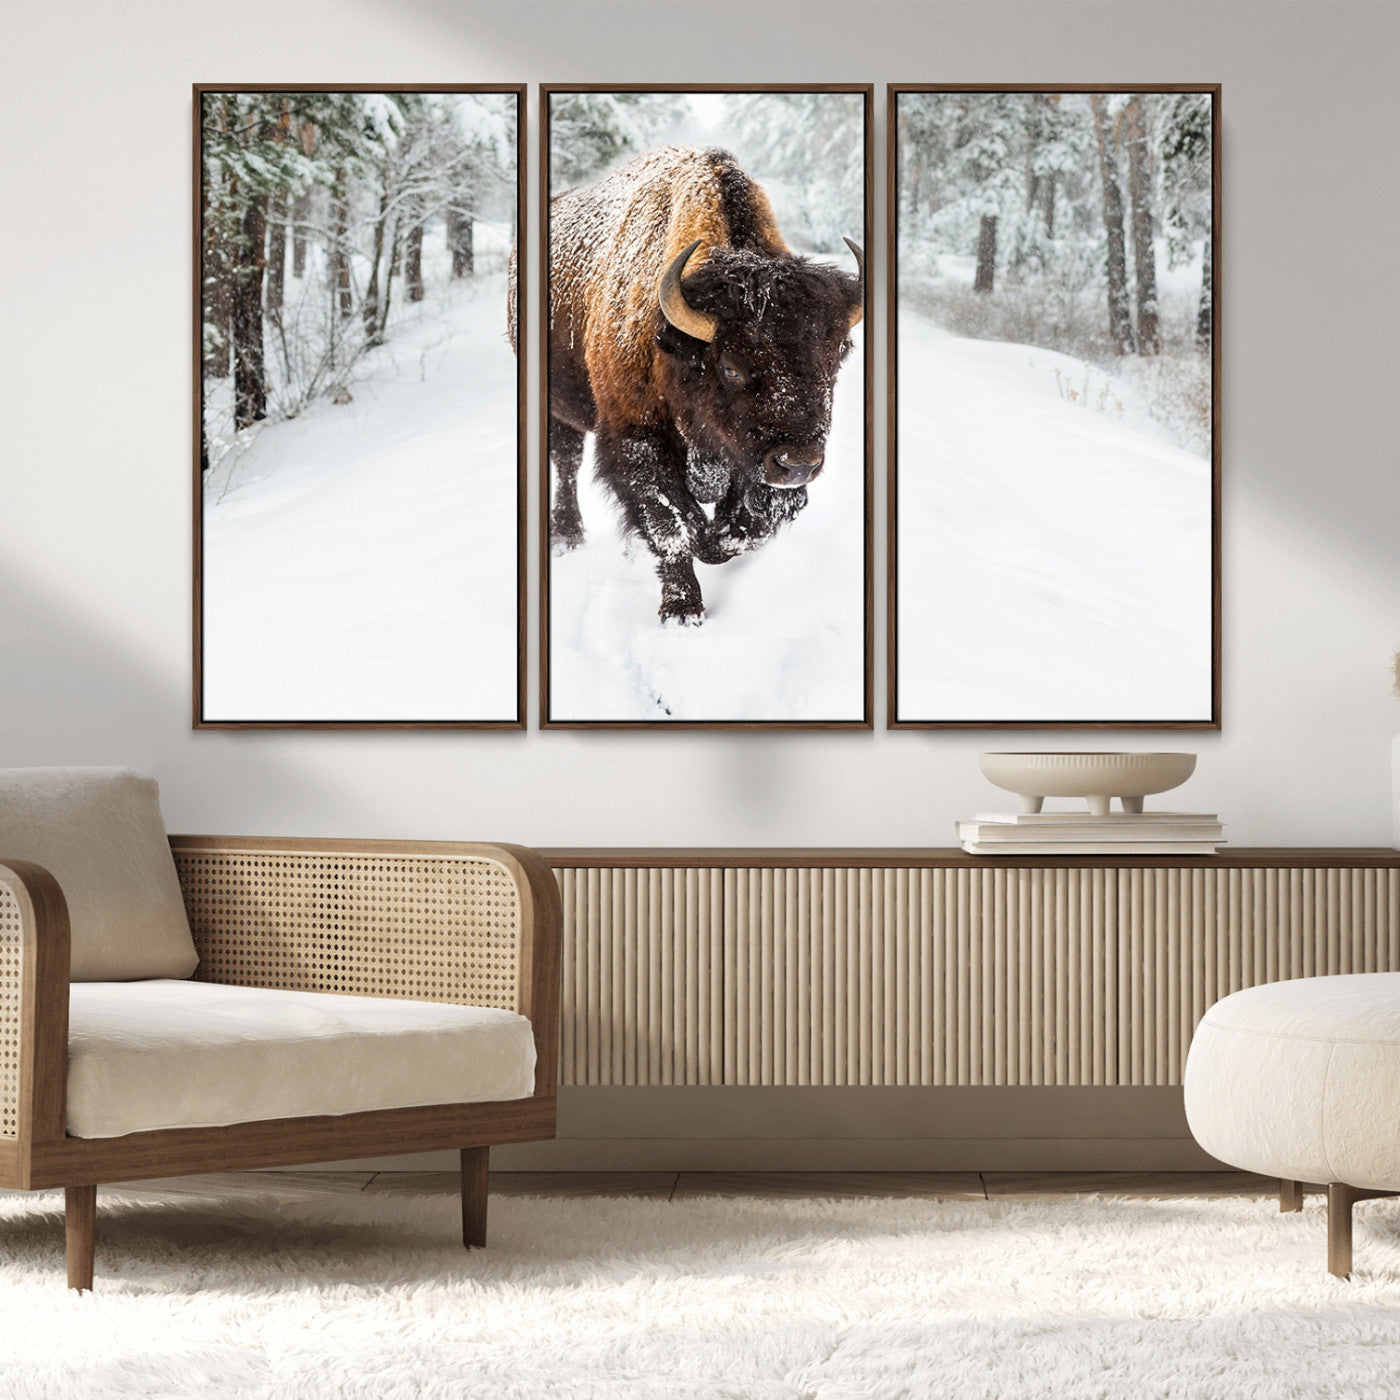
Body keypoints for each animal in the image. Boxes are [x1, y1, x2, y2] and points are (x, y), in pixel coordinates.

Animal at [534, 145, 863, 625]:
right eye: (731, 367)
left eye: (836, 357)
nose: (799, 464)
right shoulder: (637, 439)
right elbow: (671, 524)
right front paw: (682, 610)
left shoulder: (749, 461)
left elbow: (744, 528)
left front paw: (714, 544)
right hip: (558, 408)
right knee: (566, 460)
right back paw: (567, 536)